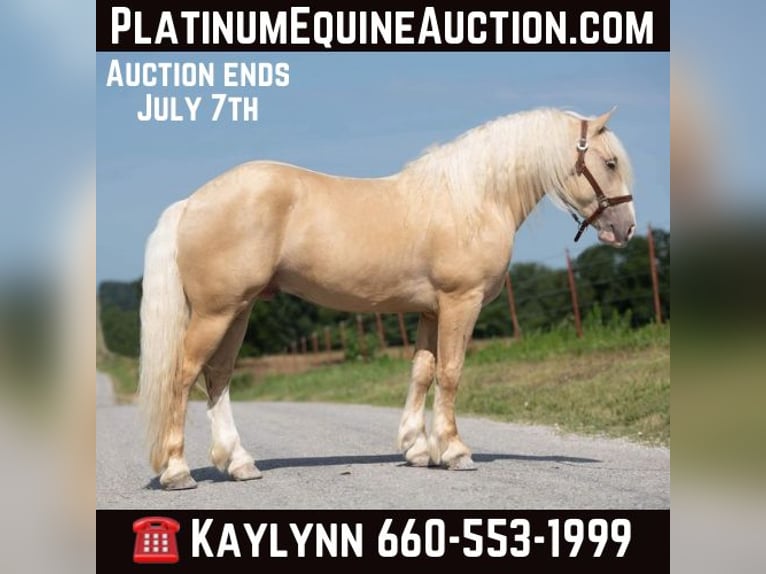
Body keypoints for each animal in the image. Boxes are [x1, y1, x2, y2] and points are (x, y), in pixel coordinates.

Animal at [139, 106, 636, 490]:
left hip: (237, 311)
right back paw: (178, 471)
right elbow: (451, 374)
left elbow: (422, 372)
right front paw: (455, 451)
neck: (474, 198)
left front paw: (417, 448)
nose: (625, 229)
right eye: (610, 162)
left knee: (217, 377)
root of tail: (192, 202)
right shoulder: (461, 302)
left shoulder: (430, 311)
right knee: (184, 377)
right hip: (216, 312)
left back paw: (239, 463)